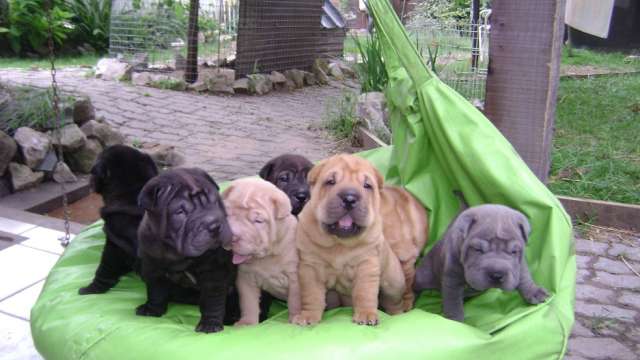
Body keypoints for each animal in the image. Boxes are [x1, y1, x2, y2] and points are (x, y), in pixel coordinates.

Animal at [136, 167, 236, 334]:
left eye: (216, 202)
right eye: (181, 212)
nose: (214, 226)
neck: (176, 255)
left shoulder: (214, 272)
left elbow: (213, 300)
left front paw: (210, 324)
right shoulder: (152, 266)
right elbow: (155, 290)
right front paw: (152, 309)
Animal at [222, 179, 300, 324]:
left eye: (258, 221)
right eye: (228, 214)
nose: (232, 236)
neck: (266, 257)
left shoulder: (296, 278)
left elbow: (296, 301)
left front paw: (295, 319)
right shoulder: (246, 278)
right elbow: (248, 302)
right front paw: (247, 323)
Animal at [416, 204, 552, 322]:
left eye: (514, 251)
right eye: (478, 249)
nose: (497, 275)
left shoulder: (520, 265)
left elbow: (524, 277)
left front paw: (535, 292)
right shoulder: (452, 278)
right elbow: (453, 302)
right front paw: (454, 320)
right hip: (424, 276)